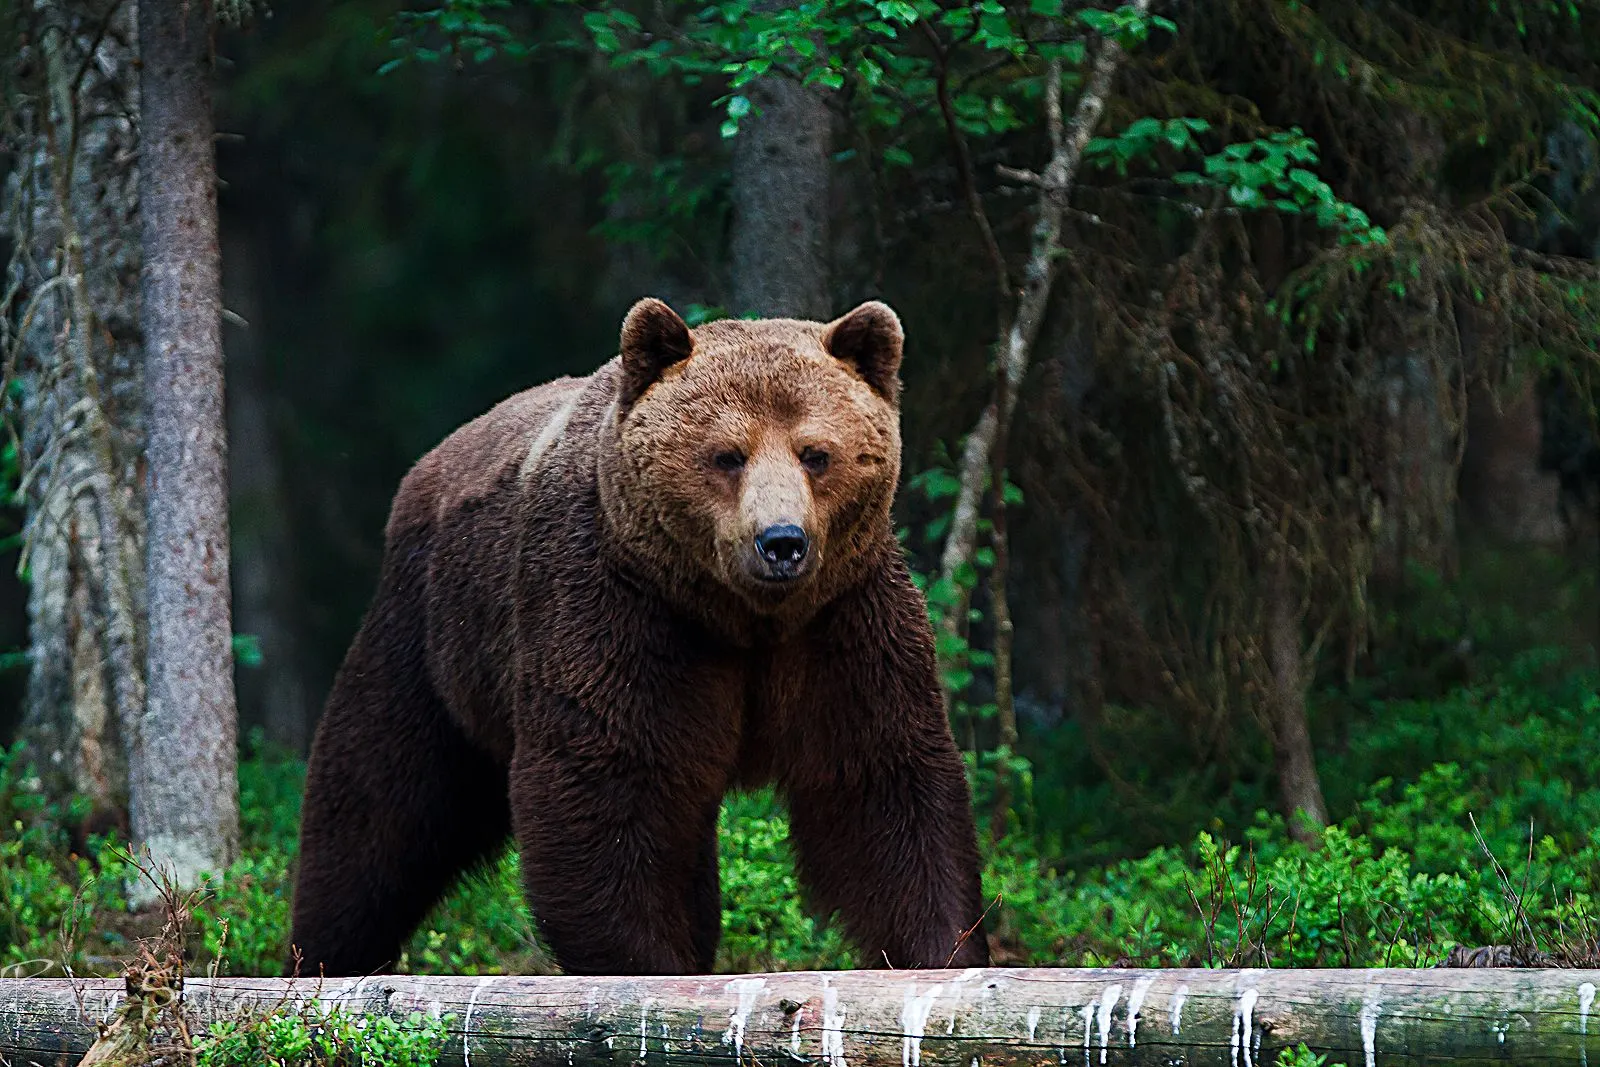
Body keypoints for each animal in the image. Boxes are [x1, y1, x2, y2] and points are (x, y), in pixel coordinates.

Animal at [288, 294, 985, 979]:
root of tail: (428, 464)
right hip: (434, 634)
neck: (741, 617)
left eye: (816, 453)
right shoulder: (617, 610)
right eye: (727, 454)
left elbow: (882, 782)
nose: (782, 541)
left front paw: (943, 949)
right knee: (379, 802)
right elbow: (606, 786)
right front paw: (651, 964)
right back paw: (323, 955)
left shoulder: (843, 619)